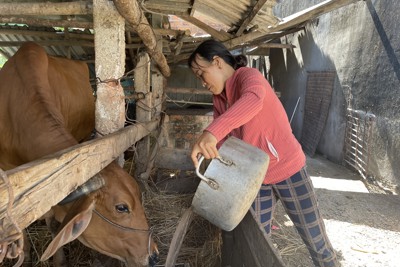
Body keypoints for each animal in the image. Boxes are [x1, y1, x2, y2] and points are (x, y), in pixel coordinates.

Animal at [0, 43, 159, 266]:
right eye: (121, 207)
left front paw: (59, 260)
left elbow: (52, 222)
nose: (153, 255)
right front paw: (27, 256)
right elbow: (19, 225)